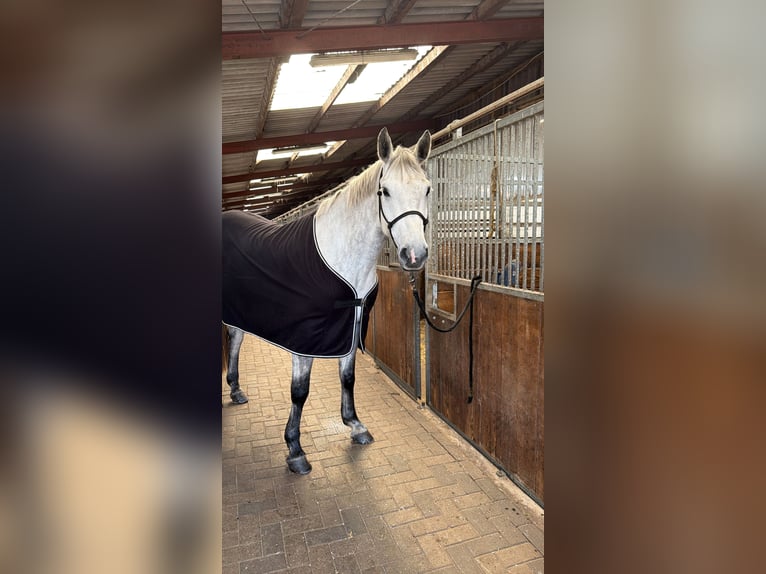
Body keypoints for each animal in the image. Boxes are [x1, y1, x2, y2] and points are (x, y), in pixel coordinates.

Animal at [222, 127, 432, 474]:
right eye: (385, 191)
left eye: (427, 189)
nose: (414, 255)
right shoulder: (304, 339)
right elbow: (299, 392)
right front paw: (295, 450)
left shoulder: (351, 328)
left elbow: (348, 377)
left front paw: (356, 426)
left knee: (236, 339)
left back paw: (237, 391)